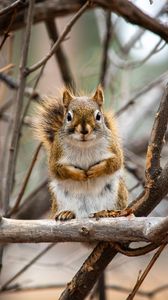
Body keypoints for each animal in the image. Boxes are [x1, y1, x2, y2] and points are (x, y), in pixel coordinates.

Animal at [33, 86, 128, 220]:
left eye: (98, 116)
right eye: (68, 117)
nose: (84, 130)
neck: (84, 145)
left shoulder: (112, 147)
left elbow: (115, 163)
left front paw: (95, 170)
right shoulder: (56, 152)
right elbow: (57, 169)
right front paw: (79, 174)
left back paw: (106, 212)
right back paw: (67, 213)